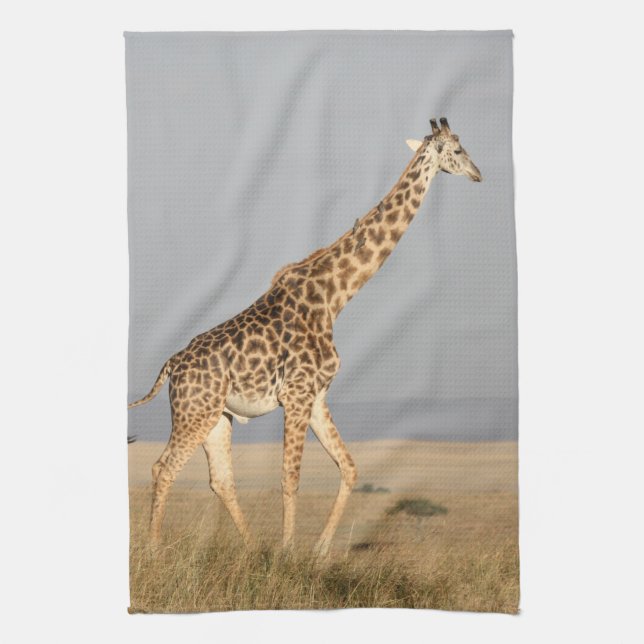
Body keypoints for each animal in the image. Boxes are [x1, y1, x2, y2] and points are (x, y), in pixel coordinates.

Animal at [128, 117, 482, 556]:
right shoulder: (296, 394)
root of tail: (171, 366)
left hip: (216, 417)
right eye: (458, 149)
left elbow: (350, 468)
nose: (478, 174)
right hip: (194, 413)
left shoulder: (316, 396)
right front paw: (287, 553)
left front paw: (318, 552)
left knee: (220, 479)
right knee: (163, 468)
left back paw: (252, 549)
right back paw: (155, 550)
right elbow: (290, 477)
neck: (335, 296)